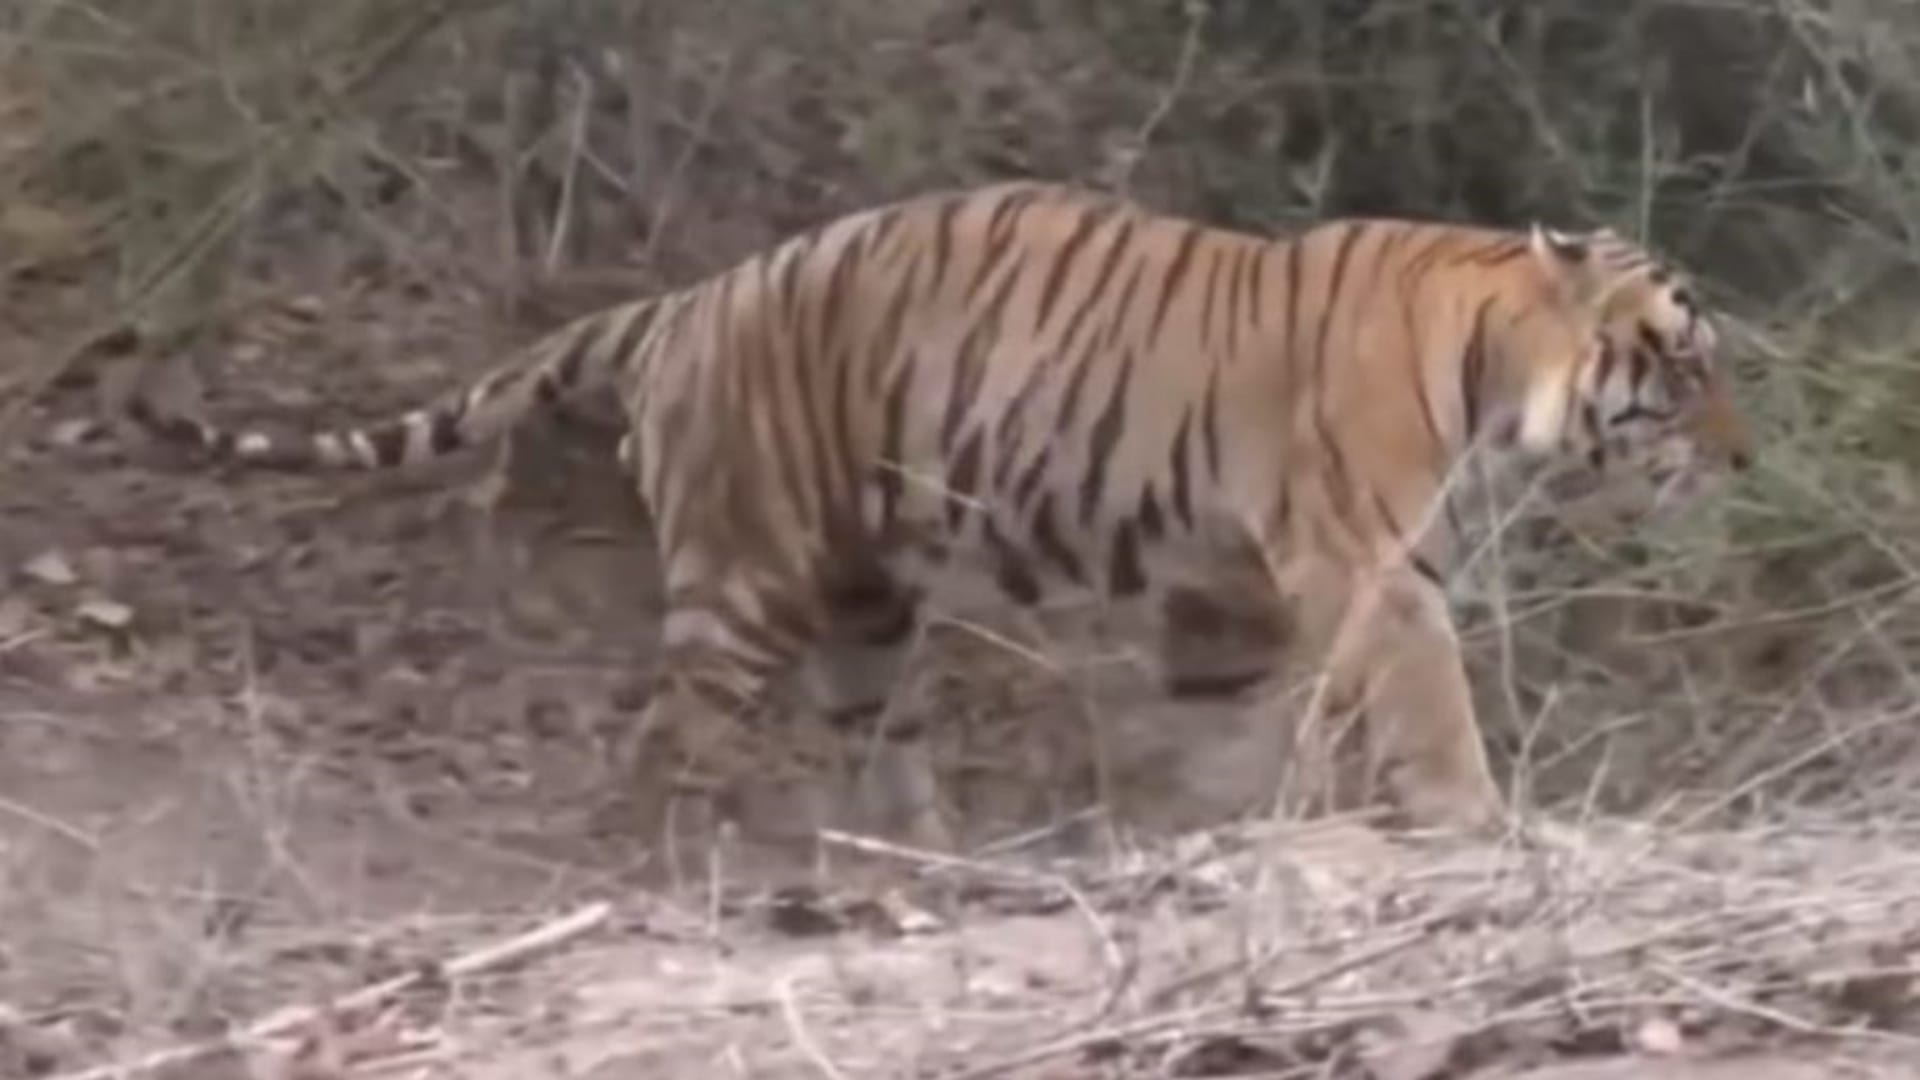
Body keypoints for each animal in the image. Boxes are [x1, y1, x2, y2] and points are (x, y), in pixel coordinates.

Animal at [122, 180, 1753, 848]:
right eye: (1682, 367)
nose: (1743, 464)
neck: (1495, 362)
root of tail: (685, 300)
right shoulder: (1379, 571)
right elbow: (1432, 710)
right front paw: (1481, 822)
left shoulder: (1227, 595)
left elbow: (1228, 734)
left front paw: (1207, 835)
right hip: (747, 576)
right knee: (667, 741)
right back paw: (666, 868)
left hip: (866, 601)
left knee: (871, 735)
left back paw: (925, 860)